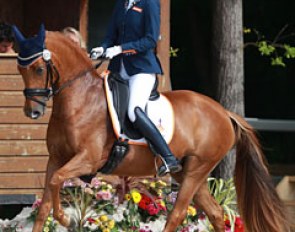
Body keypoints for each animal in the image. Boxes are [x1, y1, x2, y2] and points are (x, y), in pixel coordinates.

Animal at [13, 25, 290, 232]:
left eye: (39, 68)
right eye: (19, 69)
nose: (32, 112)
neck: (80, 99)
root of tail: (224, 112)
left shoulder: (88, 159)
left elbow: (57, 182)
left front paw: (68, 219)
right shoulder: (55, 159)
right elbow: (45, 205)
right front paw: (61, 217)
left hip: (197, 169)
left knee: (178, 214)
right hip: (190, 173)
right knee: (215, 212)